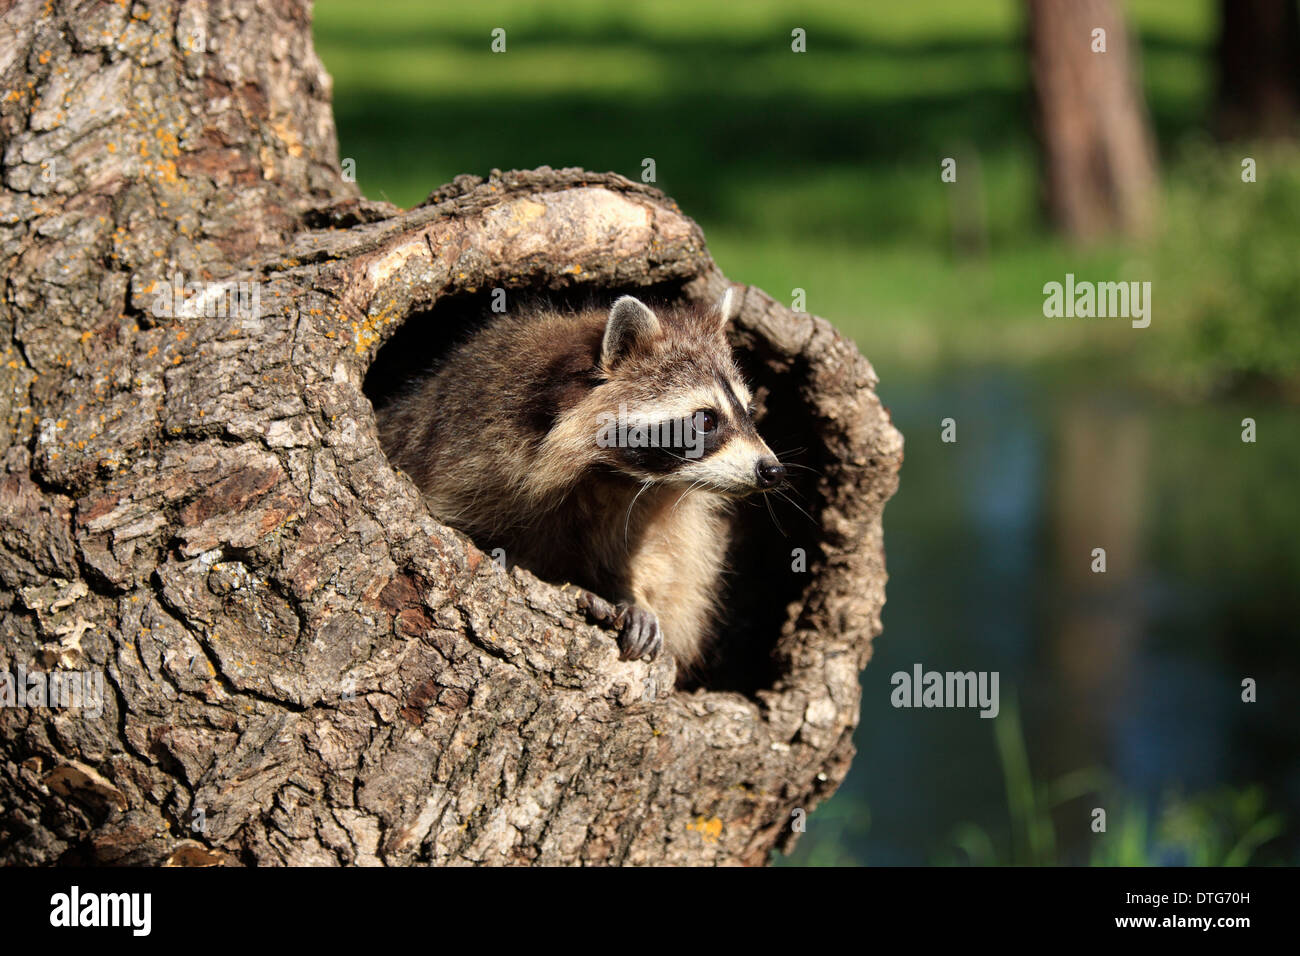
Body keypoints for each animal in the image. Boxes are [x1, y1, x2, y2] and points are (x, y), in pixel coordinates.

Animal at [377, 291, 780, 671]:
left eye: (748, 411)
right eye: (706, 420)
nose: (772, 470)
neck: (612, 475)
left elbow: (658, 557)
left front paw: (634, 593)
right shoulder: (467, 459)